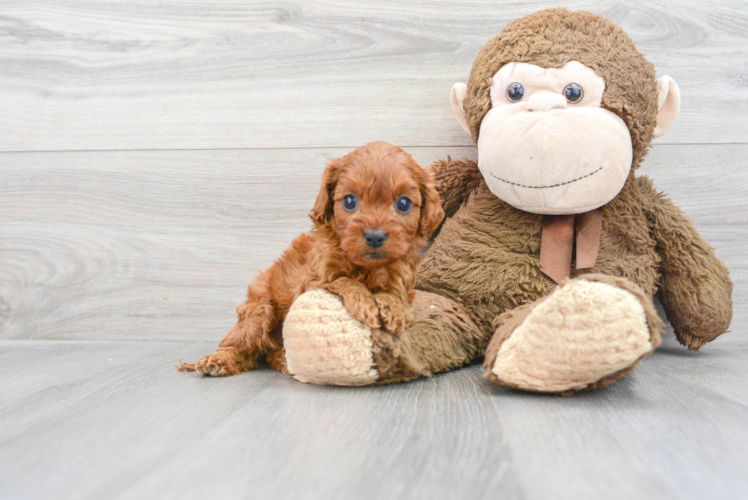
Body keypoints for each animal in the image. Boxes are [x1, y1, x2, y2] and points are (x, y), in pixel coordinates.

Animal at [178, 141, 442, 376]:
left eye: (404, 203)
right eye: (349, 201)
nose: (375, 236)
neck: (365, 266)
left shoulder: (401, 275)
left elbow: (395, 294)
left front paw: (395, 309)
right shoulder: (314, 280)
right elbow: (343, 280)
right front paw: (365, 303)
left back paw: (282, 360)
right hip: (259, 310)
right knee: (239, 345)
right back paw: (218, 361)